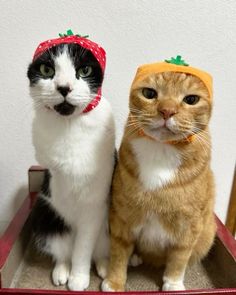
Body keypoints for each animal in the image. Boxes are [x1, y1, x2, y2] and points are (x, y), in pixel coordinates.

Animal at [27, 41, 115, 292]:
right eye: (47, 70)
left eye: (84, 71)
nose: (64, 87)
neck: (69, 125)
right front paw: (70, 274)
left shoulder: (93, 206)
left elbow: (83, 249)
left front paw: (79, 277)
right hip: (43, 213)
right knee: (61, 247)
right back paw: (61, 270)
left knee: (97, 251)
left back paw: (103, 266)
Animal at [101, 59, 216, 292]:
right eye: (149, 93)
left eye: (191, 99)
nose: (167, 111)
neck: (161, 151)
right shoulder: (121, 217)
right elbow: (118, 253)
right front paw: (115, 282)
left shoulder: (189, 227)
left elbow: (179, 259)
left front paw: (173, 283)